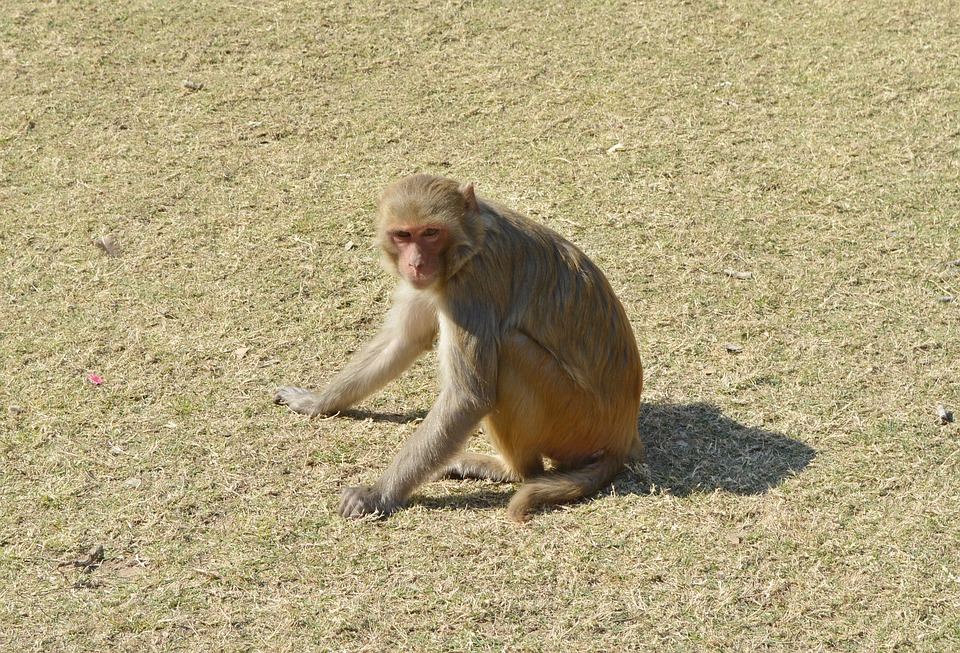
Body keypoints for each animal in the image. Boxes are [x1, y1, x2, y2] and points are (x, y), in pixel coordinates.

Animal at [274, 174, 643, 522]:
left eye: (431, 233)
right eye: (403, 235)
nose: (416, 264)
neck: (471, 240)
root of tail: (623, 435)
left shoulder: (470, 286)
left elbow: (468, 397)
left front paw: (377, 494)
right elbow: (402, 341)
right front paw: (316, 402)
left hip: (576, 423)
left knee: (509, 349)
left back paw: (513, 471)